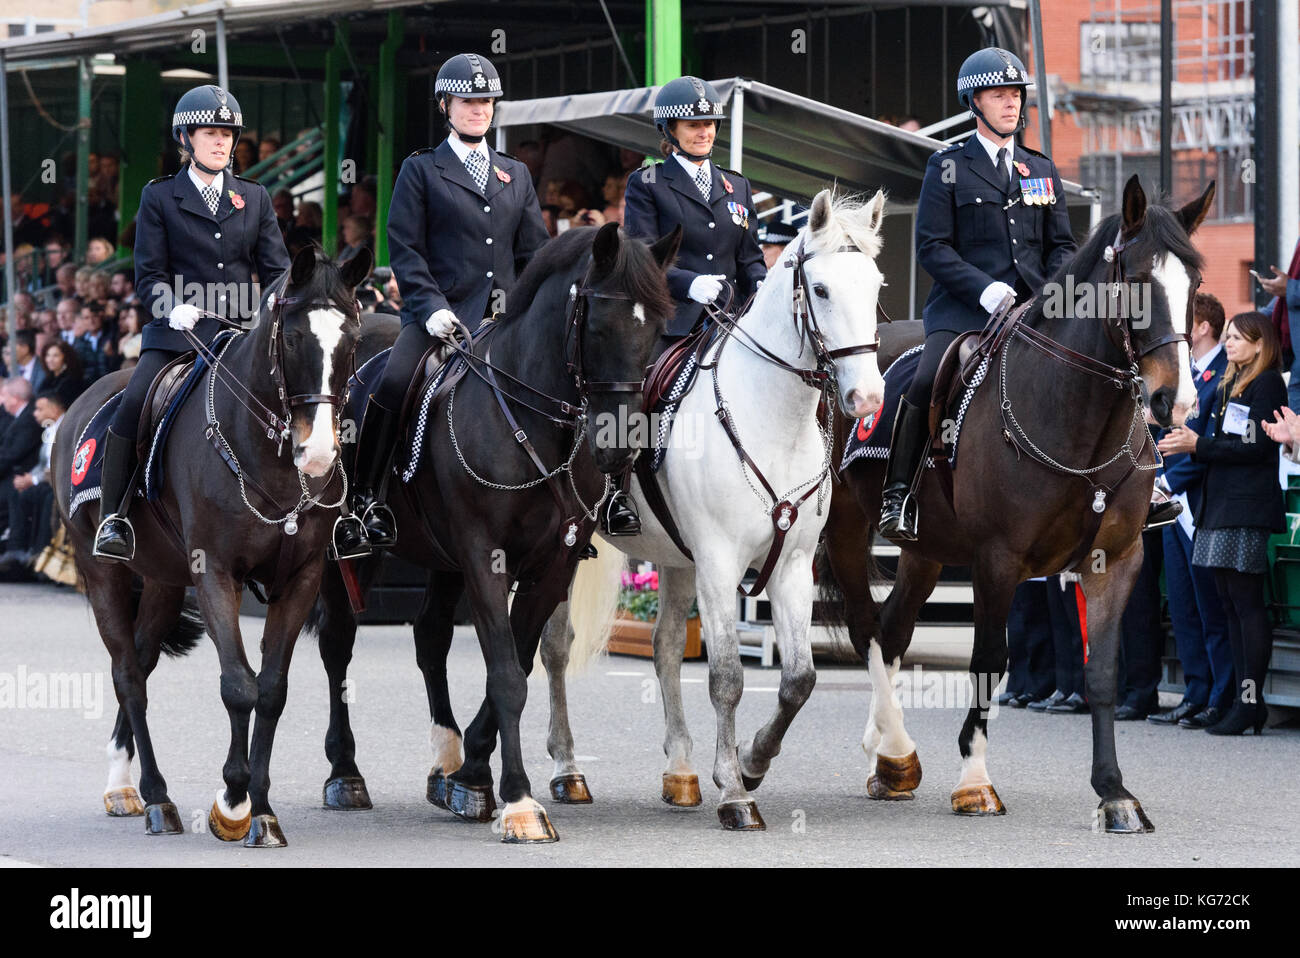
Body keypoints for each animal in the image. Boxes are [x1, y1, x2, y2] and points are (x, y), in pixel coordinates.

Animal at [55, 244, 371, 842]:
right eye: (293, 337)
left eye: (353, 340)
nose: (318, 453)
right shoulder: (216, 573)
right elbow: (238, 685)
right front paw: (233, 801)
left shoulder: (300, 579)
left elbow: (271, 689)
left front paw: (262, 811)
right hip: (103, 571)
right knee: (128, 675)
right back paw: (152, 797)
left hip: (161, 579)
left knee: (142, 660)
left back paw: (127, 784)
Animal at [310, 220, 686, 842]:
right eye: (599, 324)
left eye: (659, 326)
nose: (621, 448)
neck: (527, 419)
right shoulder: (485, 555)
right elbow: (507, 674)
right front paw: (518, 802)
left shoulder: (552, 564)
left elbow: (517, 664)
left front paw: (473, 778)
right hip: (348, 554)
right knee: (338, 642)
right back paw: (345, 773)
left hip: (441, 560)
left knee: (430, 636)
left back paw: (445, 759)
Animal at [543, 188, 889, 831]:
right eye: (821, 289)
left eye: (876, 285)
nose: (866, 398)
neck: (773, 419)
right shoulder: (721, 563)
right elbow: (727, 676)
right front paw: (734, 792)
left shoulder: (791, 566)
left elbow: (799, 680)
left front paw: (751, 762)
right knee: (555, 646)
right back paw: (566, 769)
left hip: (677, 561)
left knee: (664, 647)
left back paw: (680, 771)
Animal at [816, 178, 1211, 831]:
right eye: (1134, 279)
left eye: (1195, 286)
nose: (1174, 403)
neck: (1078, 417)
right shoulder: (997, 561)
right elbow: (988, 662)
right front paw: (975, 781)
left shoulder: (1115, 562)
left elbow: (1102, 671)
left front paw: (1114, 792)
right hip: (845, 531)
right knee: (867, 628)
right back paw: (893, 751)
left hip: (925, 551)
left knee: (893, 630)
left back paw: (889, 758)